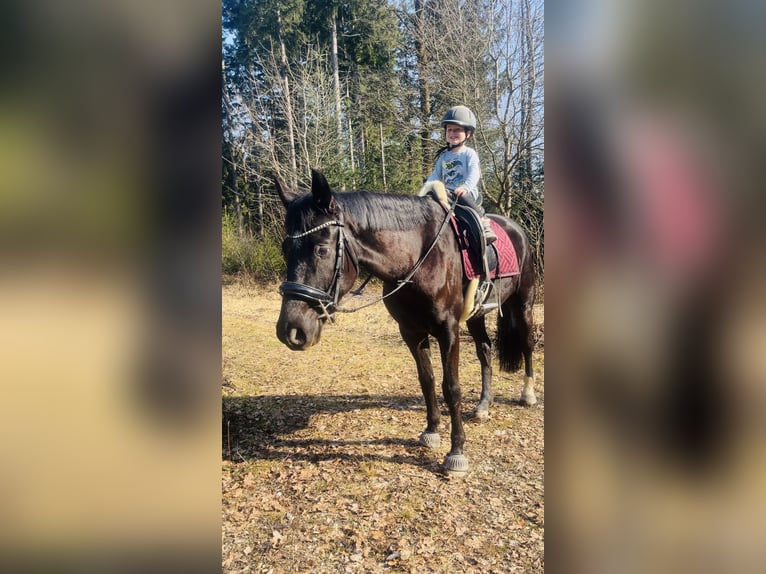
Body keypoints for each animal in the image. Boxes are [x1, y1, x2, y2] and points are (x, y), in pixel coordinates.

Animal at [275, 168, 537, 476]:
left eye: (322, 250)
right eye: (285, 248)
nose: (291, 331)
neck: (419, 256)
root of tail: (516, 229)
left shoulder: (448, 331)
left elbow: (451, 388)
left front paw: (456, 452)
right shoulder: (411, 332)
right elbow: (427, 380)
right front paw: (431, 431)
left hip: (523, 304)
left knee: (528, 344)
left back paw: (528, 394)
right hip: (477, 315)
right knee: (485, 349)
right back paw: (484, 405)